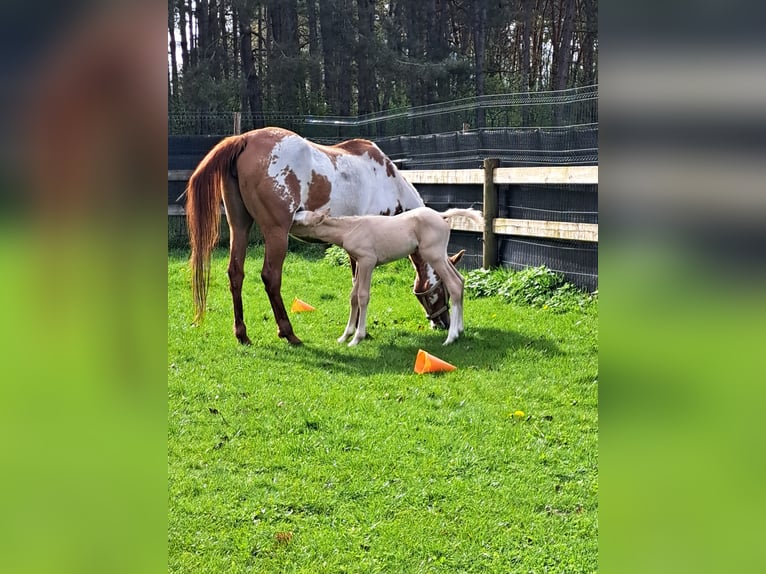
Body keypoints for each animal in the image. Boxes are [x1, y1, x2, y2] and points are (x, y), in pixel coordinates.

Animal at [187, 127, 460, 346]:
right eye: (443, 289)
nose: (443, 322)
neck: (387, 180)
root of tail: (244, 139)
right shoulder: (362, 251)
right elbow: (358, 288)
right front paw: (359, 332)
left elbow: (355, 289)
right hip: (276, 233)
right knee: (271, 277)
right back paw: (289, 333)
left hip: (240, 227)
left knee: (236, 273)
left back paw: (242, 334)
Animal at [292, 209, 484, 348]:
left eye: (299, 221)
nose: (291, 215)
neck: (350, 229)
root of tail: (440, 215)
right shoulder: (359, 263)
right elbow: (353, 297)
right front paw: (344, 336)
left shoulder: (367, 261)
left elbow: (362, 297)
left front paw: (356, 339)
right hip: (441, 256)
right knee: (460, 280)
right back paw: (459, 329)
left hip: (434, 255)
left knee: (454, 284)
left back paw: (451, 337)